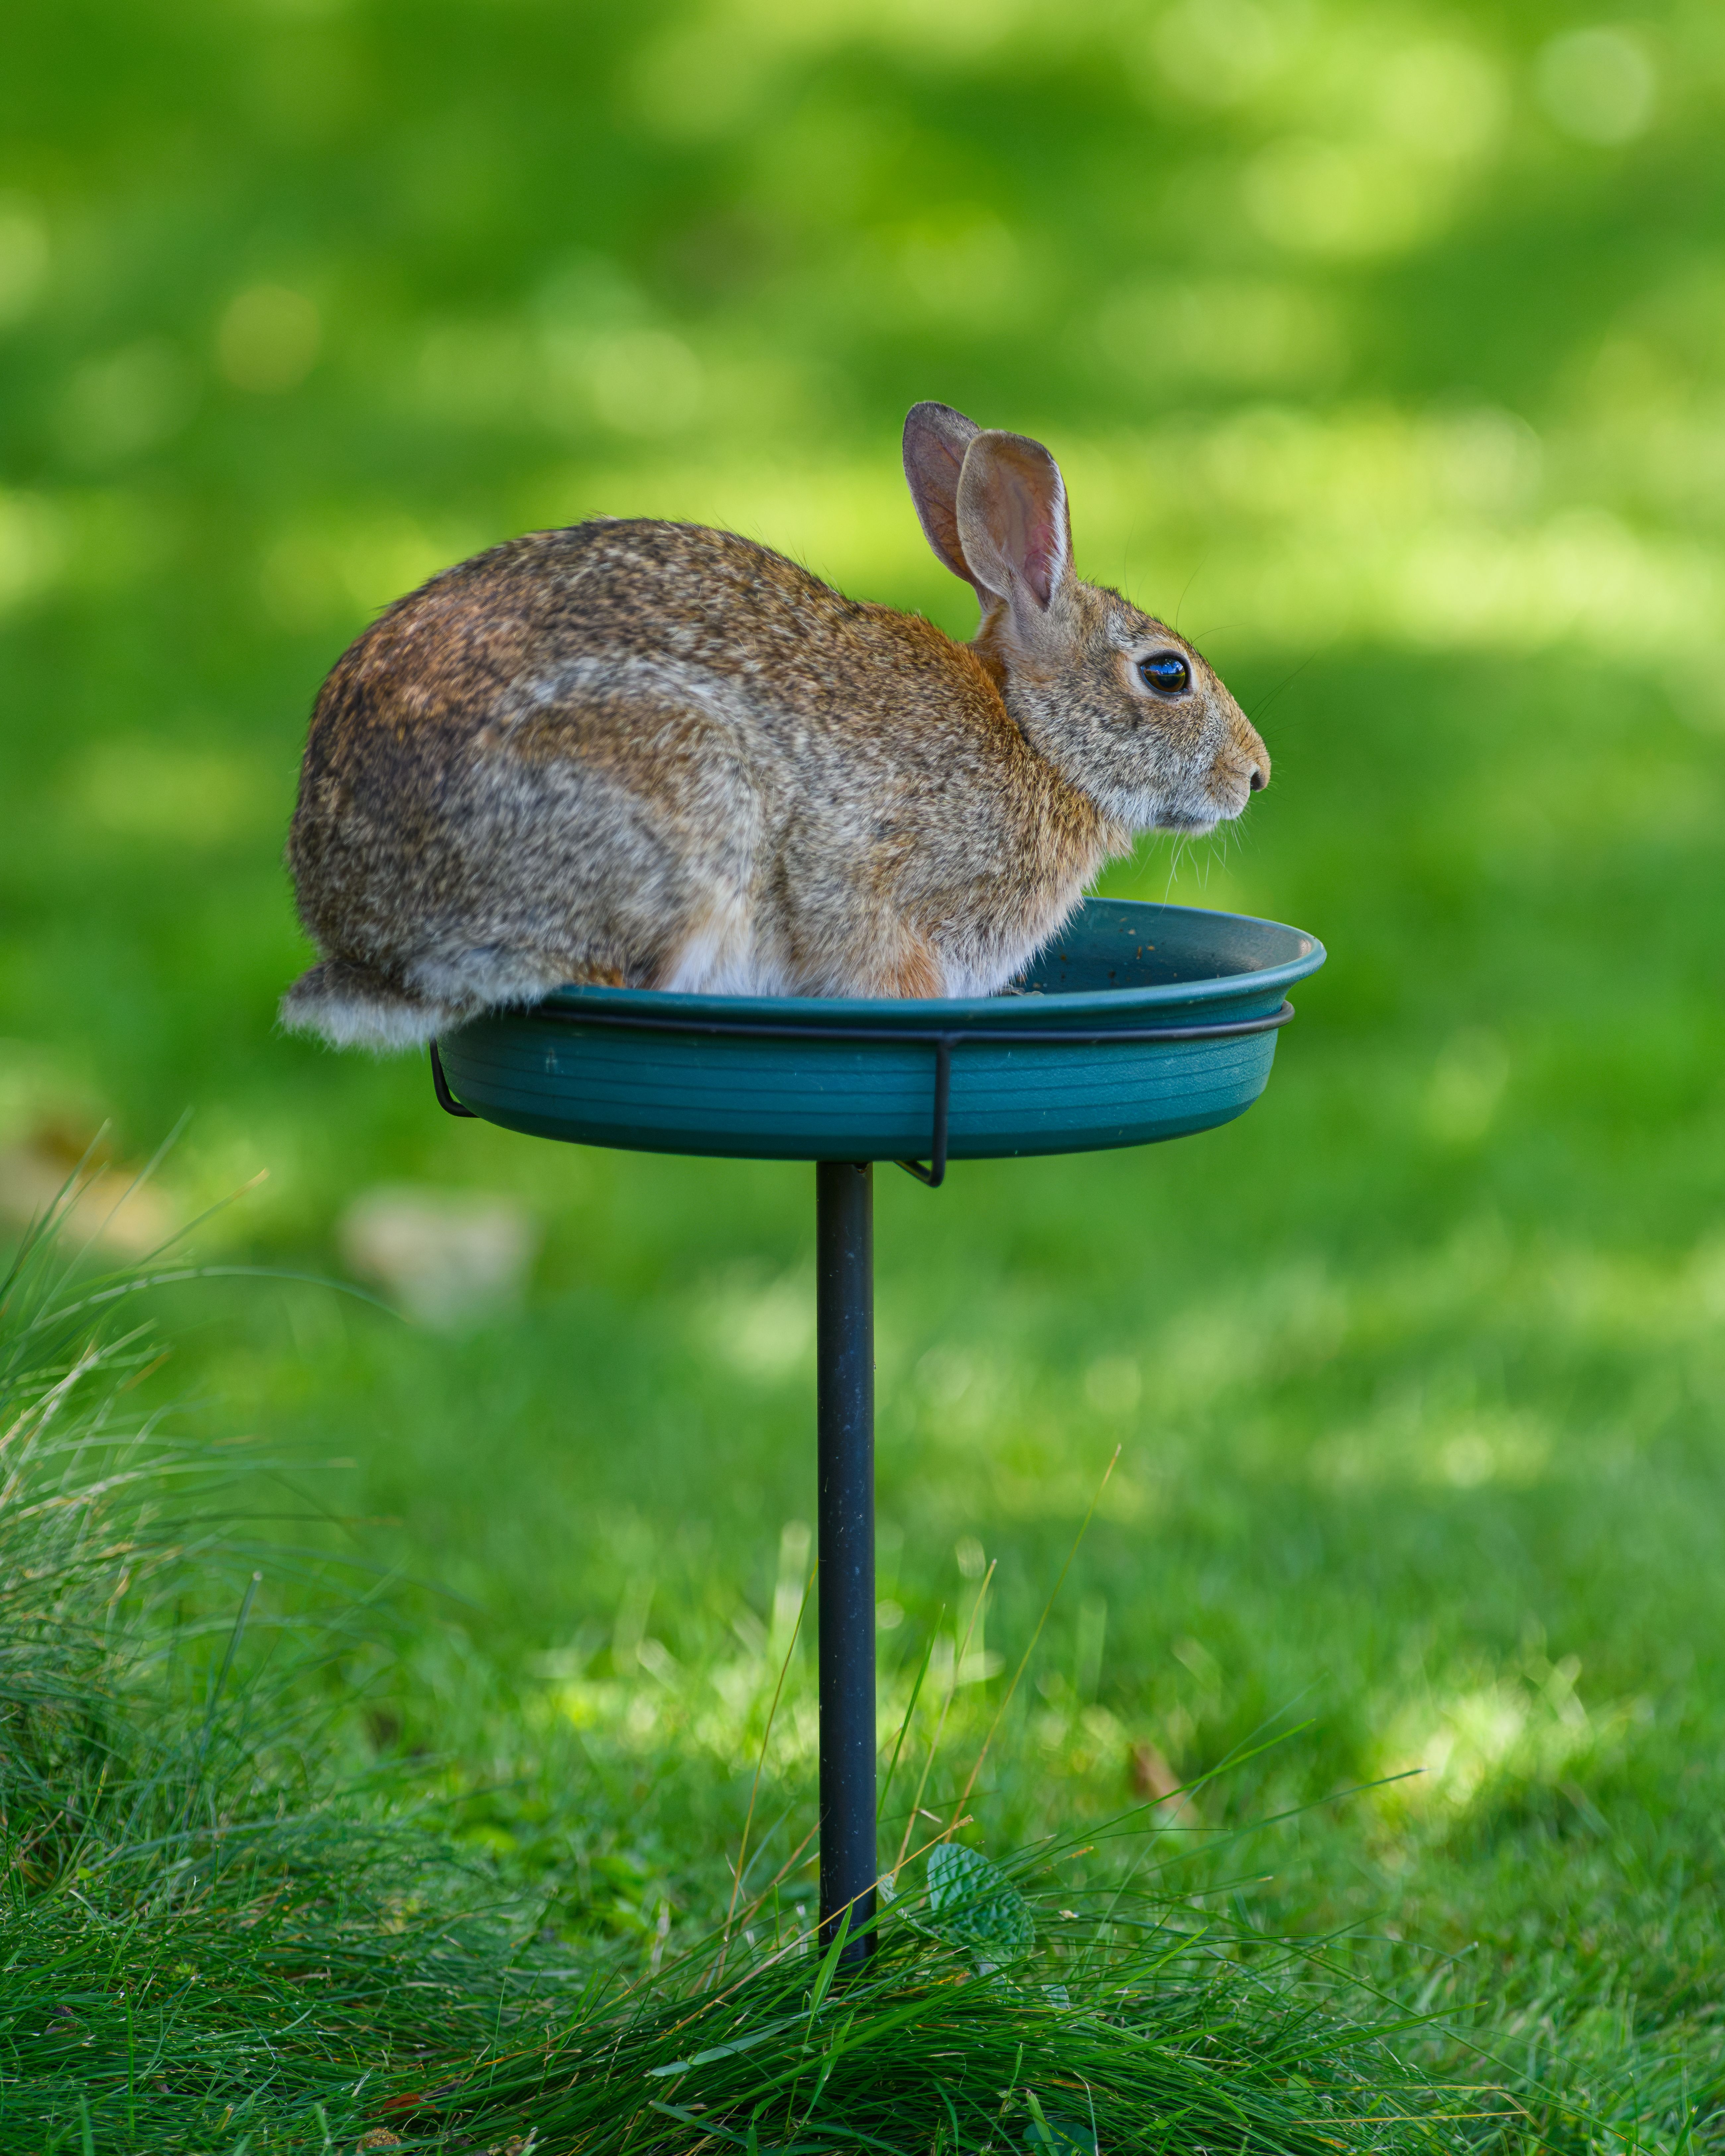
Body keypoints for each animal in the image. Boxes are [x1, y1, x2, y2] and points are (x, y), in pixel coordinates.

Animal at [282, 402, 1269, 1049]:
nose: (1255, 774)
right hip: (681, 797)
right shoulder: (868, 875)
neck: (1032, 737)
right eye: (1167, 674)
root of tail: (371, 937)